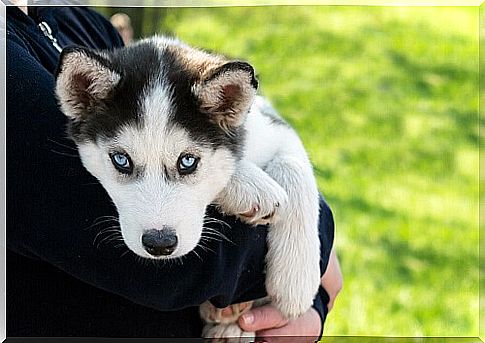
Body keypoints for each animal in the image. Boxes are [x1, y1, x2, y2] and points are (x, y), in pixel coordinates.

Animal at [55, 37, 322, 338]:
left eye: (187, 161)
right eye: (121, 160)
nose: (159, 244)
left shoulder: (273, 126)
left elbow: (293, 164)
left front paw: (296, 282)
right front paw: (250, 186)